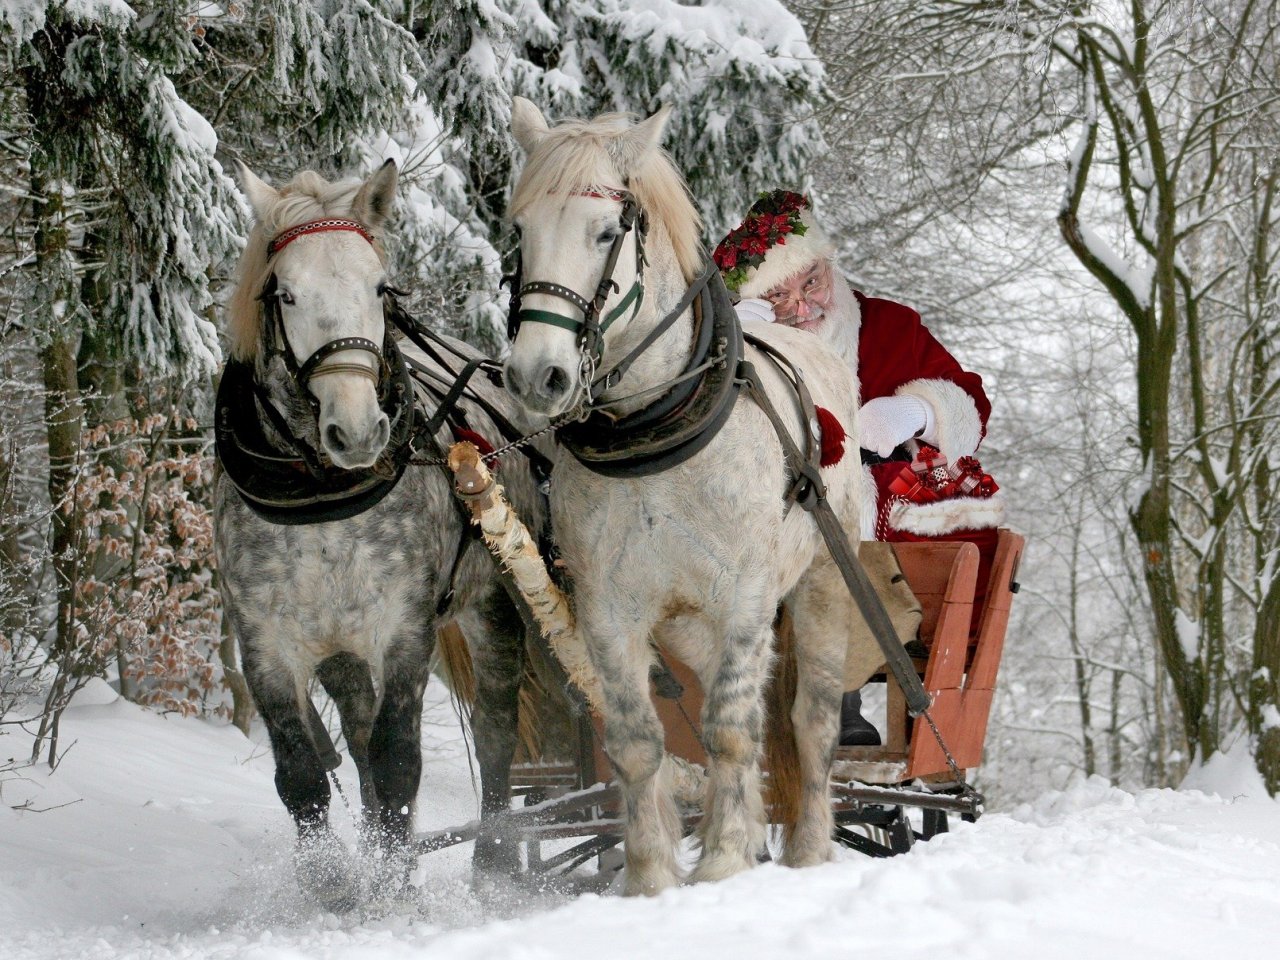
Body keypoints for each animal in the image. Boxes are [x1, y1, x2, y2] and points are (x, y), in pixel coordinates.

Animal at [499, 99, 880, 896]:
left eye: (606, 232)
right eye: (521, 231)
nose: (535, 376)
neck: (655, 434)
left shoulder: (745, 596)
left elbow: (732, 730)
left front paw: (726, 862)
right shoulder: (609, 609)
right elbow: (639, 742)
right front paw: (651, 877)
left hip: (823, 586)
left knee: (809, 721)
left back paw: (807, 850)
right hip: (687, 626)